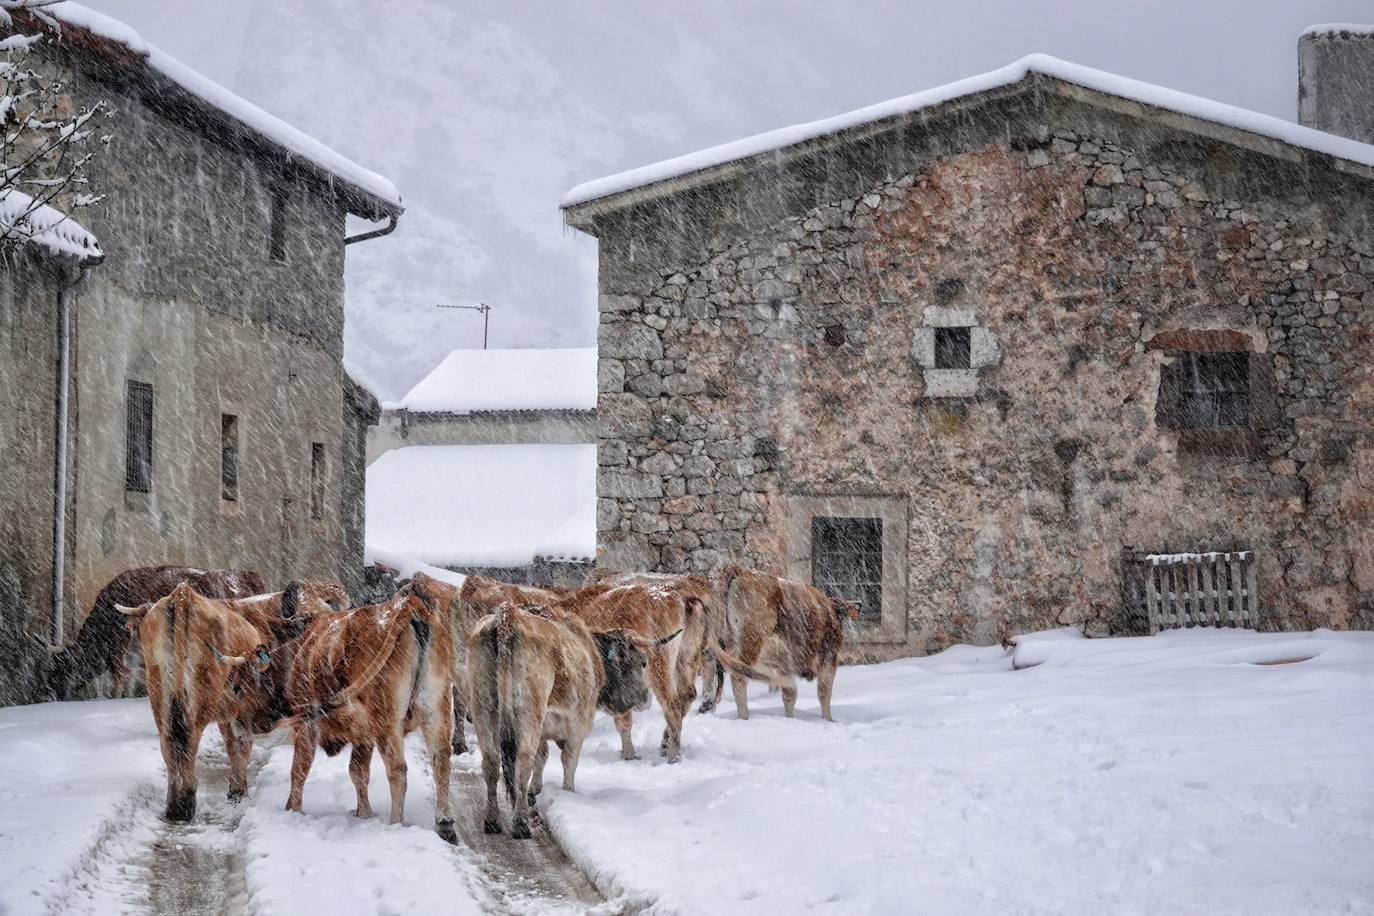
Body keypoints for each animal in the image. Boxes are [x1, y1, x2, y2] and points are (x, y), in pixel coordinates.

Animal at [281, 579, 458, 845]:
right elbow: (358, 771)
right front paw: (364, 813)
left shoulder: (305, 725)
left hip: (388, 722)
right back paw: (445, 824)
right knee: (441, 759)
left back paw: (396, 823)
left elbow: (299, 769)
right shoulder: (363, 737)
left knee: (398, 770)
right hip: (436, 711)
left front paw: (292, 809)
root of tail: (407, 604)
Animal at [467, 604, 670, 840]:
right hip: (529, 713)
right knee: (522, 763)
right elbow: (568, 761)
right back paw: (520, 823)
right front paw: (568, 792)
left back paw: (492, 820)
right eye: (643, 662)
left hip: (483, 708)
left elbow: (542, 756)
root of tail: (509, 615)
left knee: (491, 762)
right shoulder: (577, 728)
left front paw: (536, 789)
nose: (646, 698)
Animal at [557, 576, 708, 763]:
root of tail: (682, 597)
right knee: (687, 696)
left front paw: (628, 754)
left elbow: (623, 720)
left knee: (672, 707)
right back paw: (665, 743)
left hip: (659, 669)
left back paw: (673, 755)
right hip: (688, 659)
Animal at [708, 565, 846, 725]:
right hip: (751, 643)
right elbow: (824, 692)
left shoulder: (782, 665)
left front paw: (790, 719)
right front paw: (828, 720)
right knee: (739, 677)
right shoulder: (829, 657)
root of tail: (741, 571)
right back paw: (745, 717)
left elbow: (789, 694)